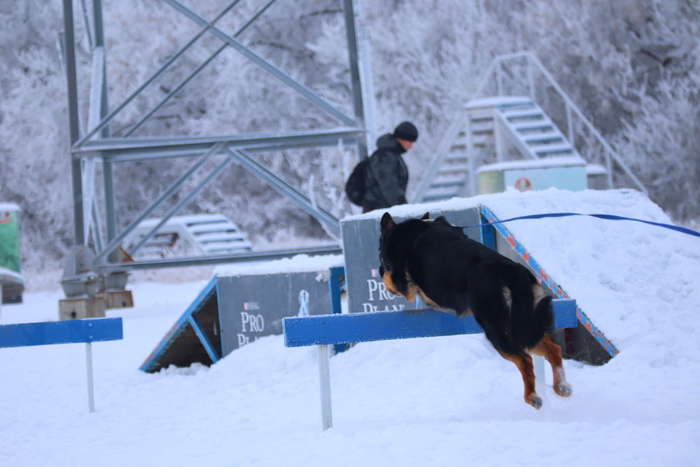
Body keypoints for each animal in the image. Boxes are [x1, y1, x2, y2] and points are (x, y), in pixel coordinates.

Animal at [379, 212, 572, 409]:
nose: (378, 269)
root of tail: (512, 273)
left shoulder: (402, 282)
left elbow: (389, 278)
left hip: (496, 329)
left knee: (525, 359)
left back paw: (531, 396)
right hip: (522, 325)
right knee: (553, 349)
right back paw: (561, 386)